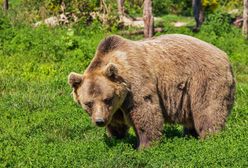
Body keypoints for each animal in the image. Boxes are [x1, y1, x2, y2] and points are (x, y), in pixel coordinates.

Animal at [68, 33, 234, 148]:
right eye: (88, 103)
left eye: (107, 99)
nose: (99, 121)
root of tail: (225, 55)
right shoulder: (116, 107)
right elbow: (116, 122)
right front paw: (116, 138)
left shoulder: (136, 84)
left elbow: (146, 112)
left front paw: (145, 146)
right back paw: (190, 135)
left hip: (204, 79)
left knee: (208, 109)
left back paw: (209, 138)